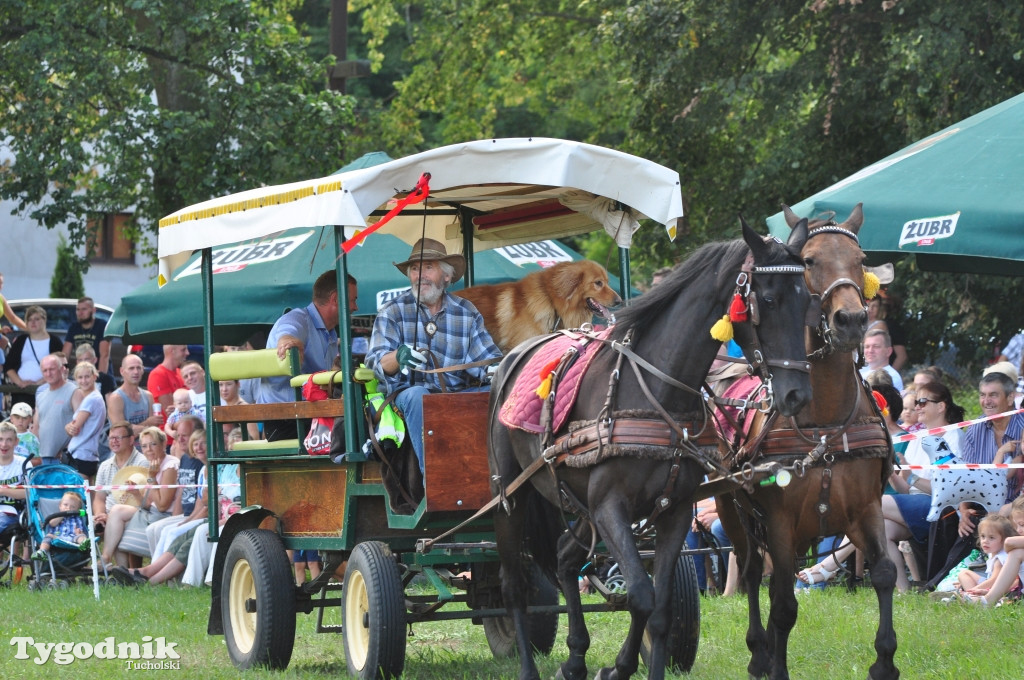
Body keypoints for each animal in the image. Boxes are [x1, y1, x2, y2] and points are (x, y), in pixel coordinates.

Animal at [712, 205, 897, 680]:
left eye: (860, 259)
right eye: (810, 260)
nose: (852, 321)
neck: (825, 423)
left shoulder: (866, 508)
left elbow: (884, 573)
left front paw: (884, 661)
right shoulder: (780, 520)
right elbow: (782, 602)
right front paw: (775, 663)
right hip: (731, 508)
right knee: (753, 570)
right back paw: (759, 652)